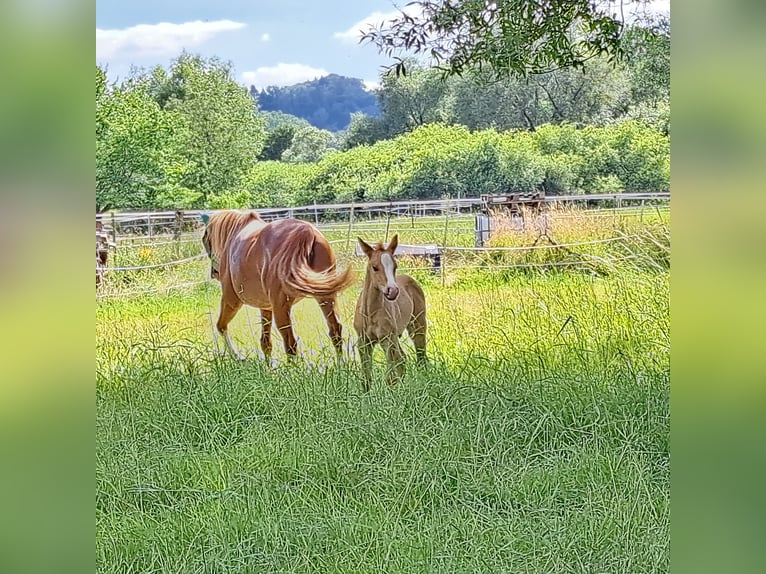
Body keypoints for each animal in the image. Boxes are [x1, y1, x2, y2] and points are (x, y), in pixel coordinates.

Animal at [201, 210, 355, 361]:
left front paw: (237, 357)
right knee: (335, 330)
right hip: (326, 297)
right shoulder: (266, 307)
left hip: (281, 307)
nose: (214, 273)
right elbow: (266, 343)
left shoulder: (231, 301)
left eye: (204, 240)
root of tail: (306, 232)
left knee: (290, 343)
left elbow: (221, 326)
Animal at [354, 235, 427, 390]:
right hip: (395, 336)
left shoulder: (386, 339)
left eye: (395, 266)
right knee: (402, 359)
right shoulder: (363, 341)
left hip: (417, 326)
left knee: (420, 357)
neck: (370, 313)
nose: (392, 291)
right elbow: (366, 378)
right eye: (375, 267)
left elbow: (390, 377)